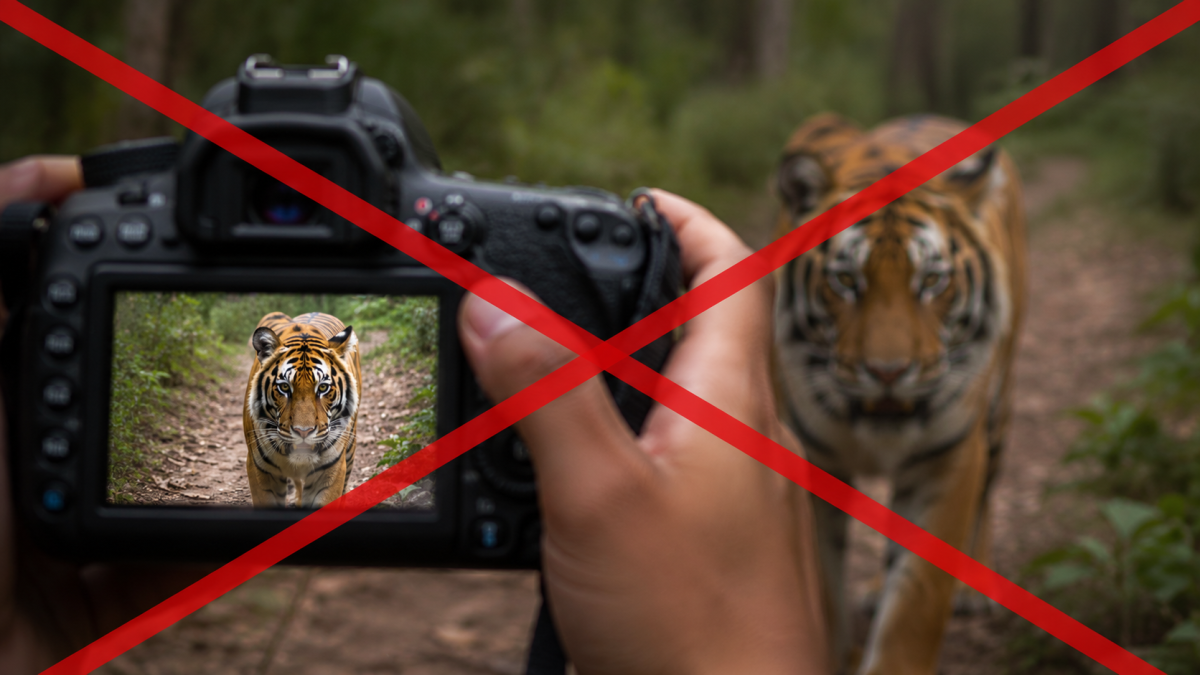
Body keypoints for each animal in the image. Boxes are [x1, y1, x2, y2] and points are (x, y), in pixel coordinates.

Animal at [771, 113, 1027, 675]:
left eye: (931, 281)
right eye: (845, 280)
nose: (888, 372)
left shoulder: (948, 457)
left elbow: (916, 602)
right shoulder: (810, 456)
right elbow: (821, 583)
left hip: (998, 408)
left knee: (990, 488)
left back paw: (976, 585)